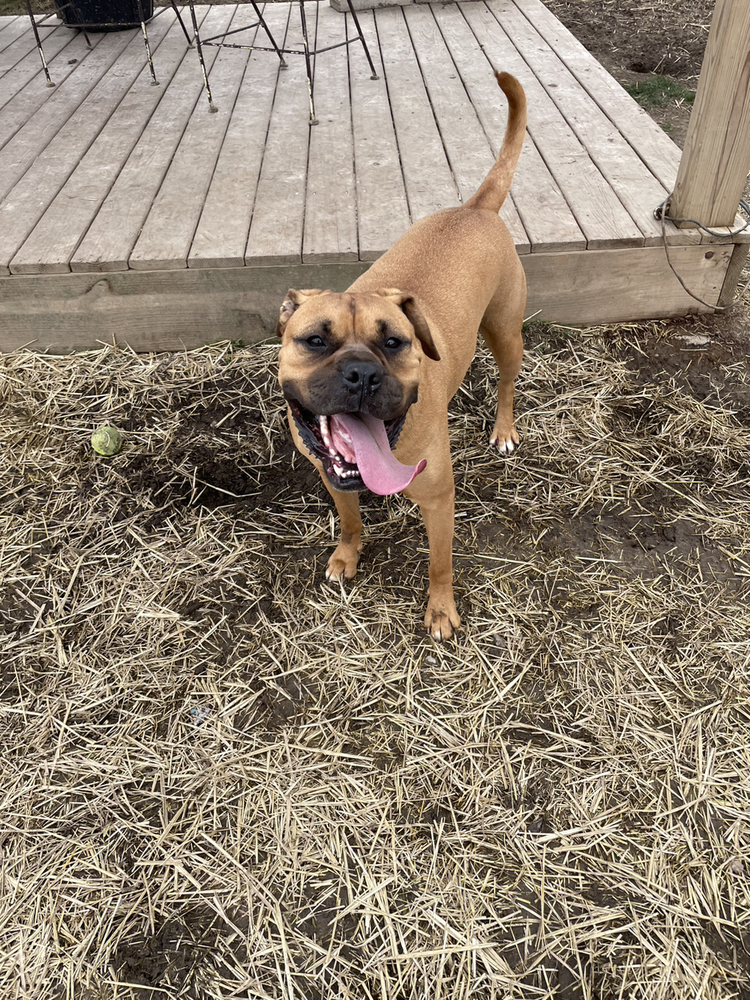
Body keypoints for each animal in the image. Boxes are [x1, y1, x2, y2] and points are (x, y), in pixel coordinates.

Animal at [278, 72, 528, 640]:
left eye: (394, 342)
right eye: (314, 340)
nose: (361, 374)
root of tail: (476, 208)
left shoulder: (438, 500)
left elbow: (440, 563)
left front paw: (440, 610)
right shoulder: (332, 476)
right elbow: (350, 520)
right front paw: (347, 556)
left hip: (506, 332)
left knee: (507, 381)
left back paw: (503, 429)